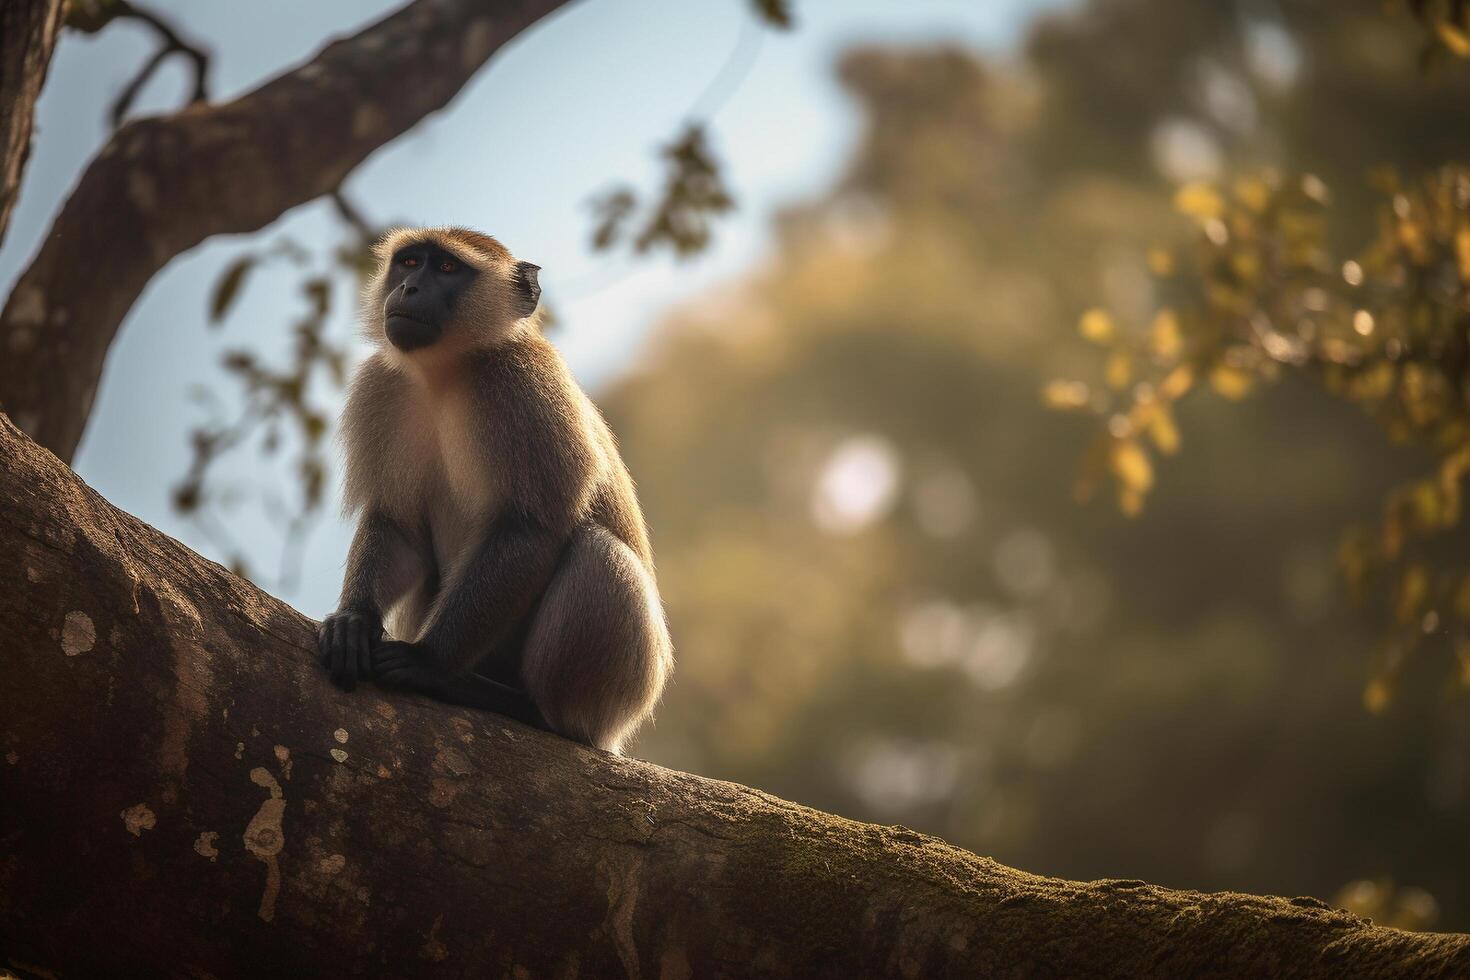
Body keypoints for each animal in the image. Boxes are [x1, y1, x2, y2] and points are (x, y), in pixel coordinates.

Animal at [318, 226, 673, 758]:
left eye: (447, 269)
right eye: (410, 262)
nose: (408, 289)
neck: (446, 373)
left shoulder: (523, 384)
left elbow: (531, 529)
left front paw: (428, 663)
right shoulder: (383, 384)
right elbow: (399, 526)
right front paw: (354, 621)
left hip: (618, 694)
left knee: (597, 551)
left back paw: (525, 708)